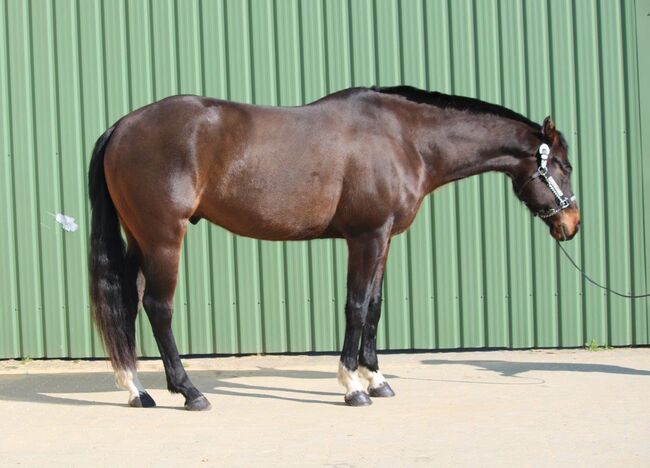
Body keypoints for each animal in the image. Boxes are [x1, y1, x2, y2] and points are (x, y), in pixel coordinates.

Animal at [88, 85, 580, 410]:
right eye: (563, 165)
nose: (571, 224)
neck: (405, 138)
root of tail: (121, 126)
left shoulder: (383, 239)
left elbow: (375, 307)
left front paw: (377, 379)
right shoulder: (366, 236)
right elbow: (356, 307)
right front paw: (353, 387)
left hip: (141, 238)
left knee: (127, 304)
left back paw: (138, 390)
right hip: (164, 238)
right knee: (158, 308)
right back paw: (189, 392)